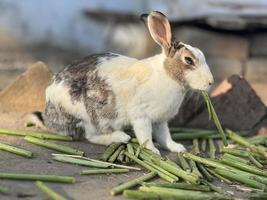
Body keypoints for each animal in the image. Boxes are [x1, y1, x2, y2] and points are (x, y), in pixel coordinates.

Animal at [28, 11, 214, 155]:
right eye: (188, 60)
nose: (211, 82)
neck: (167, 75)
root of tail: (49, 117)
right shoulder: (141, 116)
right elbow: (145, 136)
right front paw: (153, 151)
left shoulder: (160, 121)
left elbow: (164, 136)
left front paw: (178, 148)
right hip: (87, 116)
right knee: (91, 136)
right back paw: (120, 137)